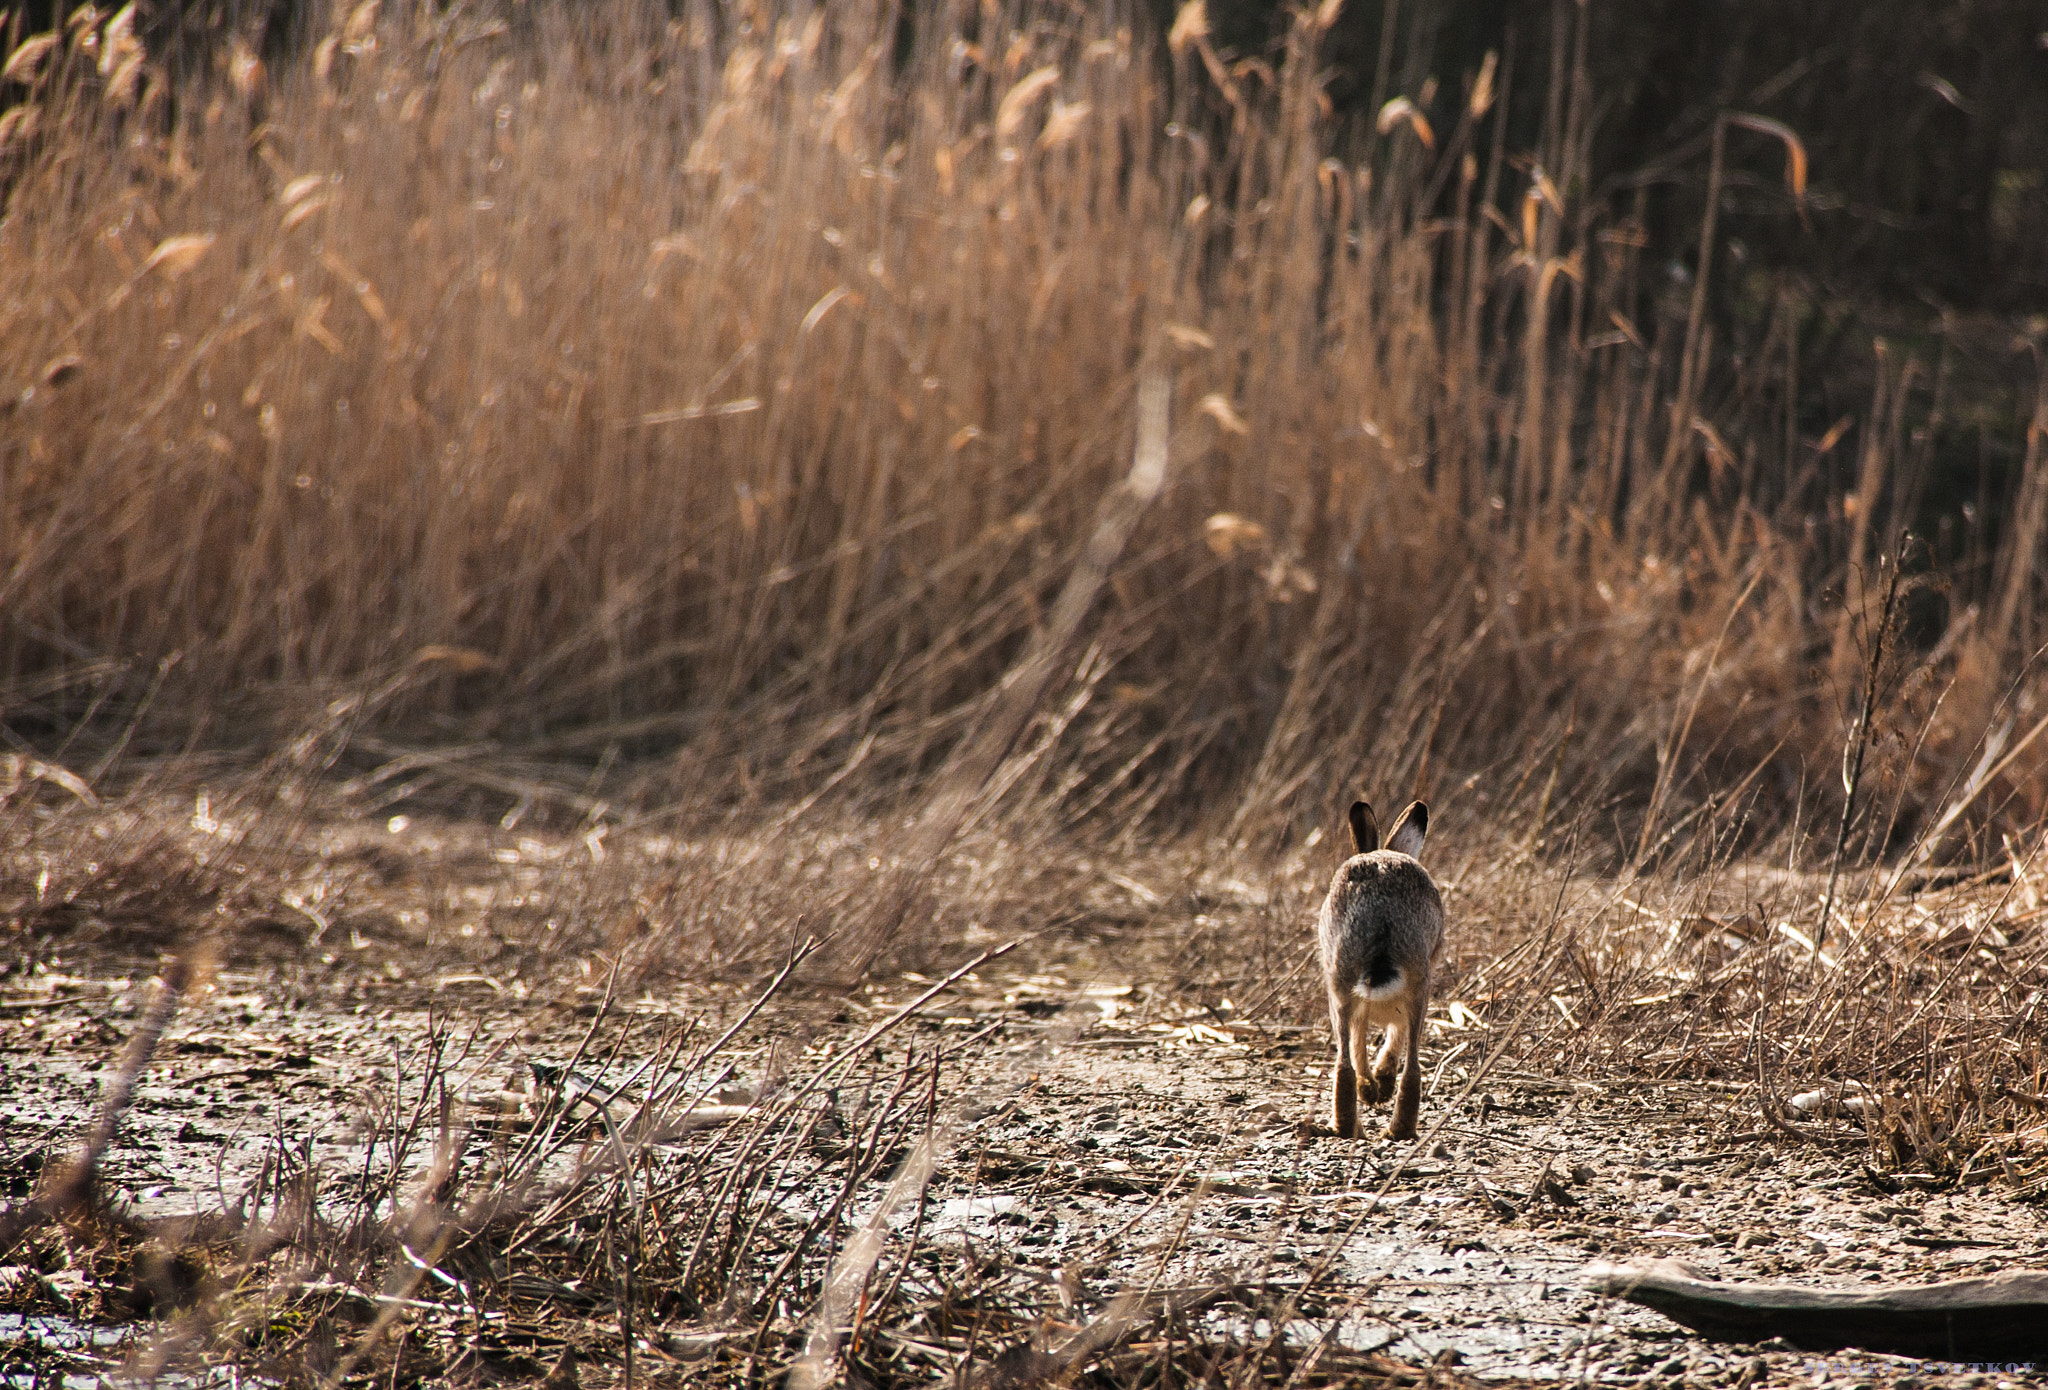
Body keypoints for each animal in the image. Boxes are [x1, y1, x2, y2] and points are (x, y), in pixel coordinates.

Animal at [1316, 799, 1444, 1140]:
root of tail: (1382, 919)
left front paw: (1374, 1090)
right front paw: (1377, 1089)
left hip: (1342, 985)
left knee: (1349, 1061)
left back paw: (1360, 1124)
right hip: (1411, 984)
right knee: (1404, 1064)